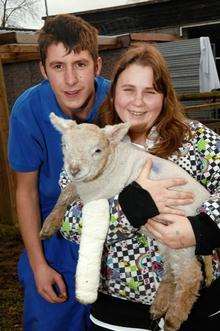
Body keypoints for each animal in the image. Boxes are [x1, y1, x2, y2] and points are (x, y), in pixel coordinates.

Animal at [40, 113, 211, 331]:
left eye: (97, 150)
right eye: (64, 145)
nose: (74, 169)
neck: (109, 164)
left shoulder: (100, 192)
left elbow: (71, 194)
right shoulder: (82, 186)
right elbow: (66, 193)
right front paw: (49, 225)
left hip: (183, 238)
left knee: (191, 276)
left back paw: (173, 318)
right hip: (167, 241)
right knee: (172, 272)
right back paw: (160, 305)